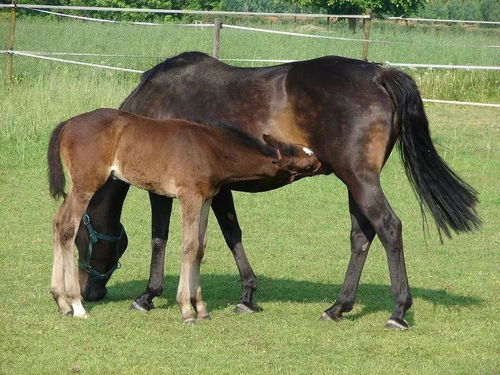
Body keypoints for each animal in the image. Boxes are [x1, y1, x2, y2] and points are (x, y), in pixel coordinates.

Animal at [47, 107, 320, 322]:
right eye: (303, 158)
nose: (321, 161)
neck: (210, 149)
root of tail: (66, 124)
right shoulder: (189, 196)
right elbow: (188, 246)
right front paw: (186, 310)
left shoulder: (206, 198)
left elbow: (200, 247)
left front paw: (201, 308)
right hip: (86, 184)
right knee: (68, 226)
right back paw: (76, 305)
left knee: (58, 222)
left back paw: (61, 302)